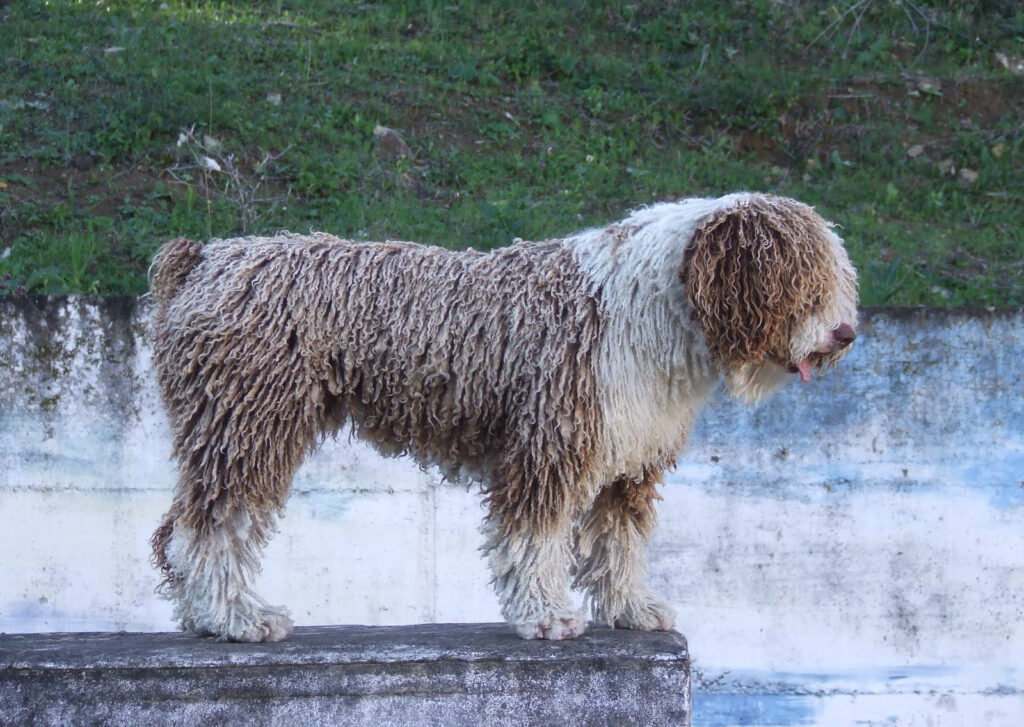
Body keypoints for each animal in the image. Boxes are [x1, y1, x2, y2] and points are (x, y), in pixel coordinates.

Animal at [149, 193, 856, 643]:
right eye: (801, 280)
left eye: (835, 278)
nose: (846, 334)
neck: (650, 308)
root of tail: (206, 259)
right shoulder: (550, 442)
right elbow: (533, 539)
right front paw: (545, 616)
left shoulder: (629, 461)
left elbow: (620, 543)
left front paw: (630, 609)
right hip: (250, 425)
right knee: (214, 528)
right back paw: (236, 618)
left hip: (222, 430)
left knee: (184, 524)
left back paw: (203, 618)